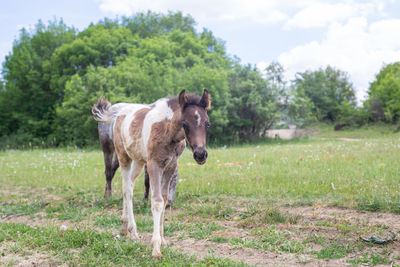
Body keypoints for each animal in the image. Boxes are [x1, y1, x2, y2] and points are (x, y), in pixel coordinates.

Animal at [92, 90, 211, 260]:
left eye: (207, 124)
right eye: (185, 124)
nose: (200, 155)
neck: (168, 132)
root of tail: (119, 113)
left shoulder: (170, 166)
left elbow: (165, 198)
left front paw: (163, 240)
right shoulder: (154, 165)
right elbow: (157, 201)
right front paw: (156, 248)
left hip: (139, 161)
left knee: (129, 185)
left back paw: (125, 226)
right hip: (122, 156)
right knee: (126, 189)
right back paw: (133, 232)